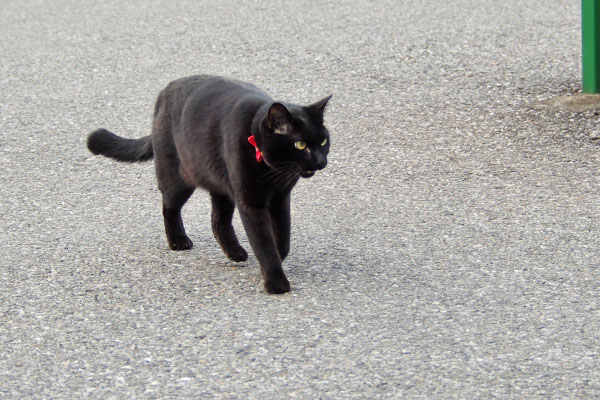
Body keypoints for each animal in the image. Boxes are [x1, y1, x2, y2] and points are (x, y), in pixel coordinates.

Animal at [88, 75, 332, 294]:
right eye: (300, 145)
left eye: (323, 141)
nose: (321, 161)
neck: (273, 172)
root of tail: (165, 91)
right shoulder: (250, 202)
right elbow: (263, 242)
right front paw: (276, 281)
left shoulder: (280, 198)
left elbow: (282, 235)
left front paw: (278, 258)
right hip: (178, 177)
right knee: (169, 206)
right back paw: (178, 241)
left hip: (221, 184)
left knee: (217, 220)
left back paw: (235, 252)